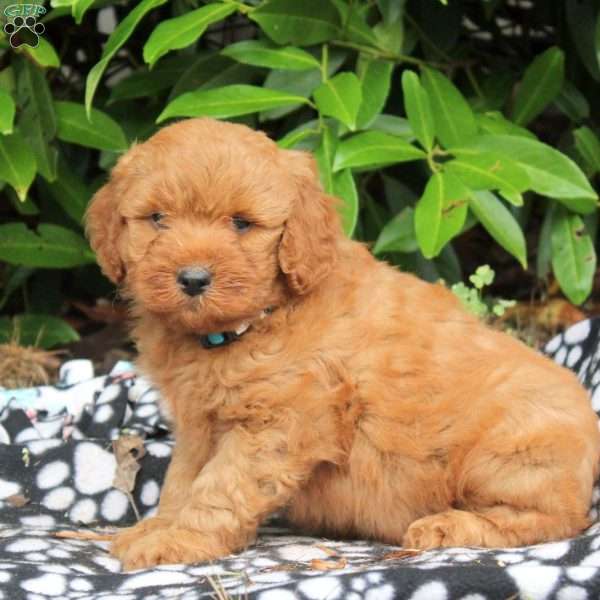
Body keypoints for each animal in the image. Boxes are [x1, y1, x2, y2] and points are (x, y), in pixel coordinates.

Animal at [84, 118, 600, 572]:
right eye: (157, 219)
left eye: (242, 224)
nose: (192, 279)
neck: (256, 322)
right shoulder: (199, 425)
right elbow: (183, 479)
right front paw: (159, 527)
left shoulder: (277, 425)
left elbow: (219, 487)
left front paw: (180, 540)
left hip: (507, 454)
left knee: (553, 521)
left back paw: (446, 527)